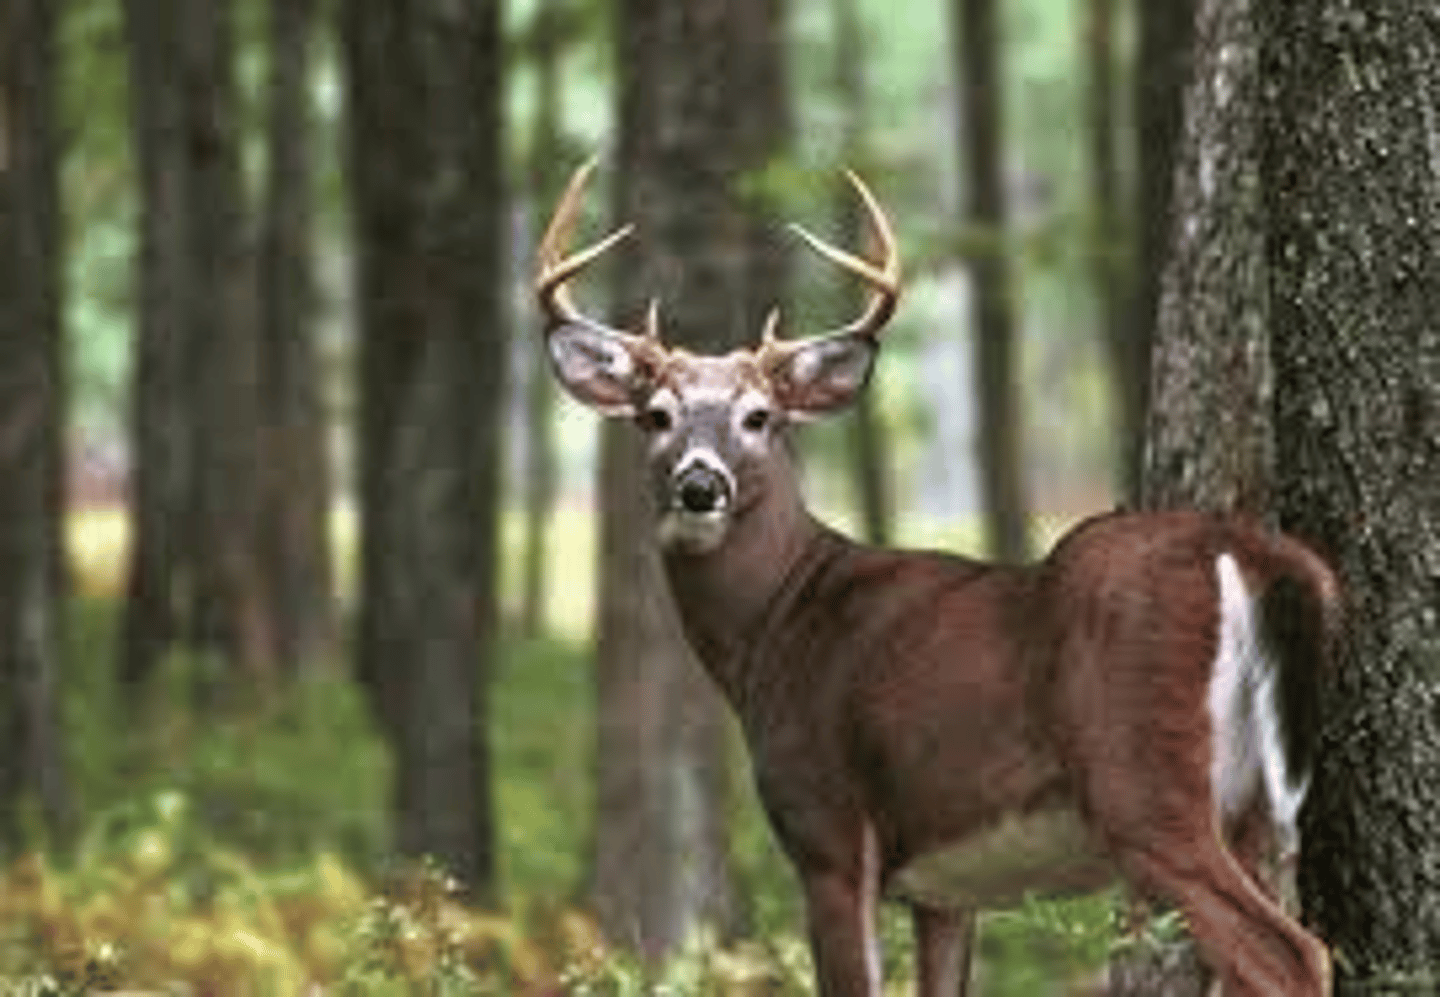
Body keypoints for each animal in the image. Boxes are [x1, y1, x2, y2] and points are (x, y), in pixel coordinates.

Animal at [535, 159, 1337, 997]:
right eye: (656, 414)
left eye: (759, 416)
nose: (699, 485)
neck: (776, 625)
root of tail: (1251, 550)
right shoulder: (945, 890)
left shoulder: (827, 825)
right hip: (1249, 801)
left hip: (1145, 782)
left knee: (1291, 952)